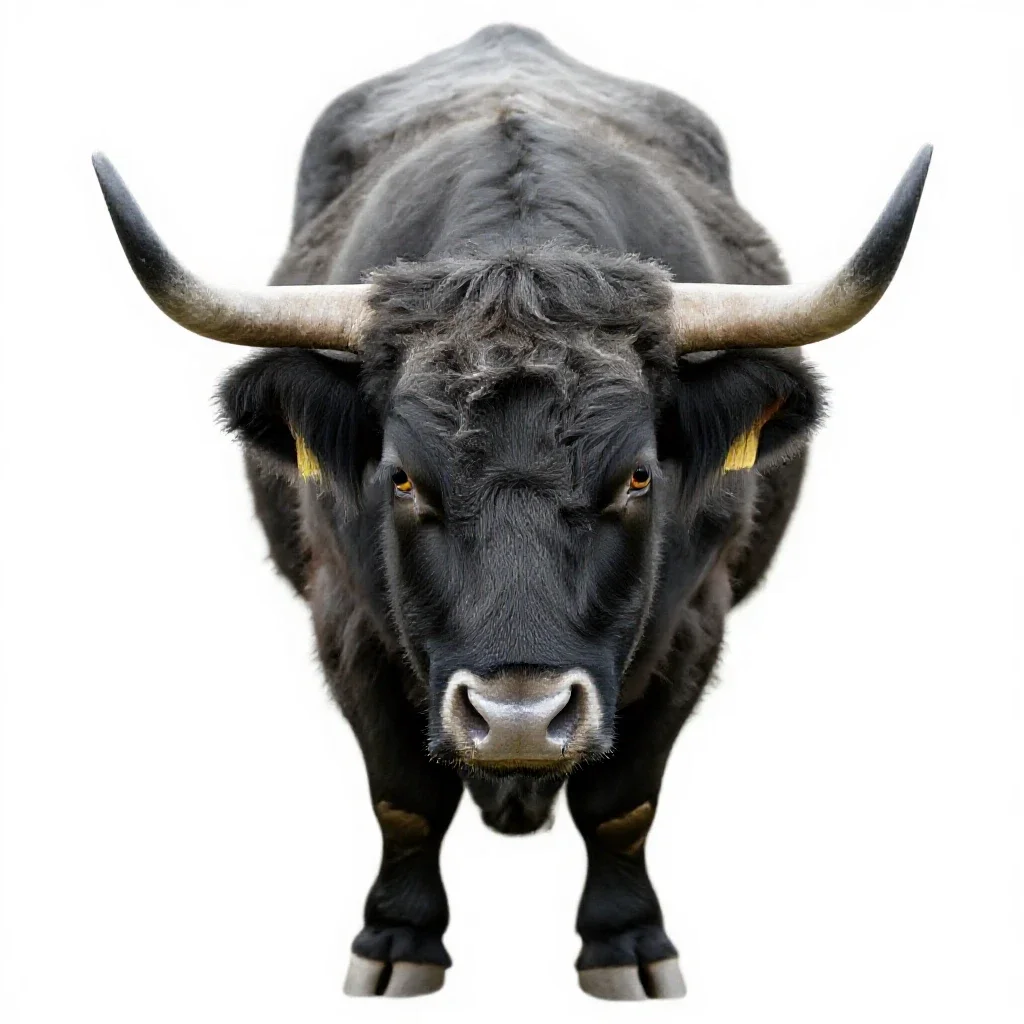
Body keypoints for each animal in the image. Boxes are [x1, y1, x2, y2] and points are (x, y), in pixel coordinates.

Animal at [93, 24, 929, 1001]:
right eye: (402, 478)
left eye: (638, 477)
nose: (520, 717)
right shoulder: (344, 615)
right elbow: (404, 799)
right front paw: (397, 944)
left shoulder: (694, 618)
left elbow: (623, 803)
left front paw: (628, 947)